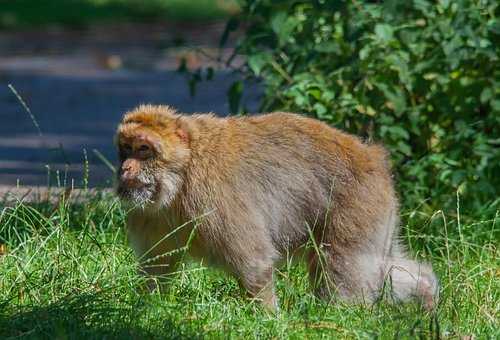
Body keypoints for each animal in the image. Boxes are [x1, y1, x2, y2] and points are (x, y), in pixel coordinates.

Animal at [116, 105, 438, 312]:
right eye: (126, 149)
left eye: (144, 150)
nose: (125, 168)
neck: (182, 177)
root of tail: (374, 157)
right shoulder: (149, 213)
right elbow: (157, 268)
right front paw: (145, 308)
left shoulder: (213, 198)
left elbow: (253, 262)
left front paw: (268, 318)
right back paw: (426, 292)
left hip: (359, 205)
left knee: (344, 266)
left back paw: (343, 317)